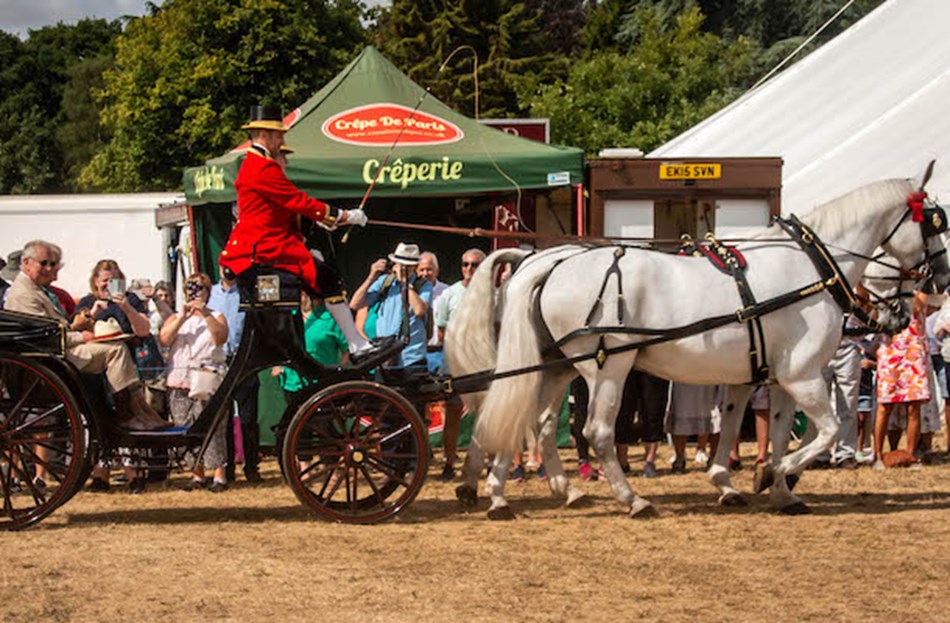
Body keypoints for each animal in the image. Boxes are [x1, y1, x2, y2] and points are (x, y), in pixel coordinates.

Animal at [450, 177, 950, 516]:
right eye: (934, 225)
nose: (939, 281)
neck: (811, 268)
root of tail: (545, 261)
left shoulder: (764, 377)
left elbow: (753, 430)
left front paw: (760, 486)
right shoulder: (804, 375)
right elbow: (824, 431)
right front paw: (774, 474)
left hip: (555, 365)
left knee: (525, 417)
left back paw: (513, 492)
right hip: (607, 368)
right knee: (595, 431)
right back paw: (631, 499)